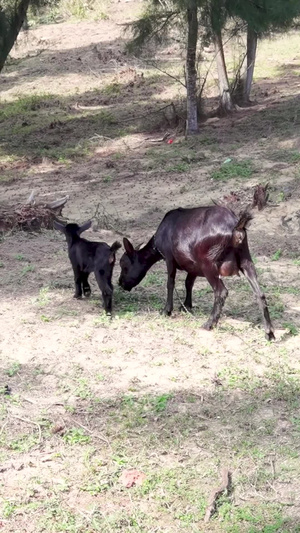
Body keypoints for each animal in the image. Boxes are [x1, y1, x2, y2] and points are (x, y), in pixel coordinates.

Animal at [118, 206, 276, 338]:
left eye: (124, 265)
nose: (120, 283)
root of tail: (236, 227)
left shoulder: (169, 258)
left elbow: (170, 283)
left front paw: (167, 310)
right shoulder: (193, 266)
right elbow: (188, 283)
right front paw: (186, 306)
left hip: (208, 264)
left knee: (221, 291)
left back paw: (209, 324)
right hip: (246, 259)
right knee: (259, 293)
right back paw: (269, 333)